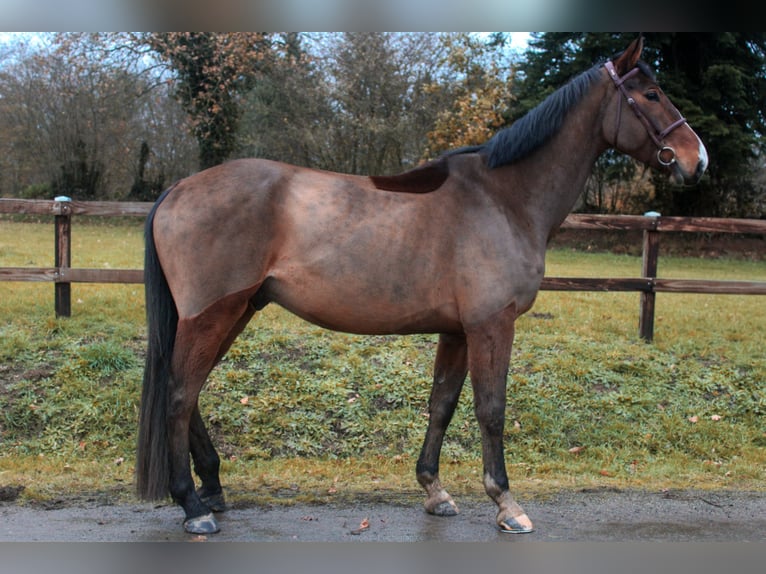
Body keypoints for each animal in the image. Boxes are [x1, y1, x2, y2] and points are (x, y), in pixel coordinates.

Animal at [136, 37, 707, 535]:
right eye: (651, 94)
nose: (695, 158)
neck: (505, 197)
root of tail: (177, 190)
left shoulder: (456, 331)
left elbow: (442, 405)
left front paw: (435, 491)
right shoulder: (491, 325)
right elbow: (491, 410)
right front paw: (506, 502)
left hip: (236, 311)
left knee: (191, 392)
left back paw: (211, 488)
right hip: (213, 314)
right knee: (180, 395)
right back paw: (192, 506)